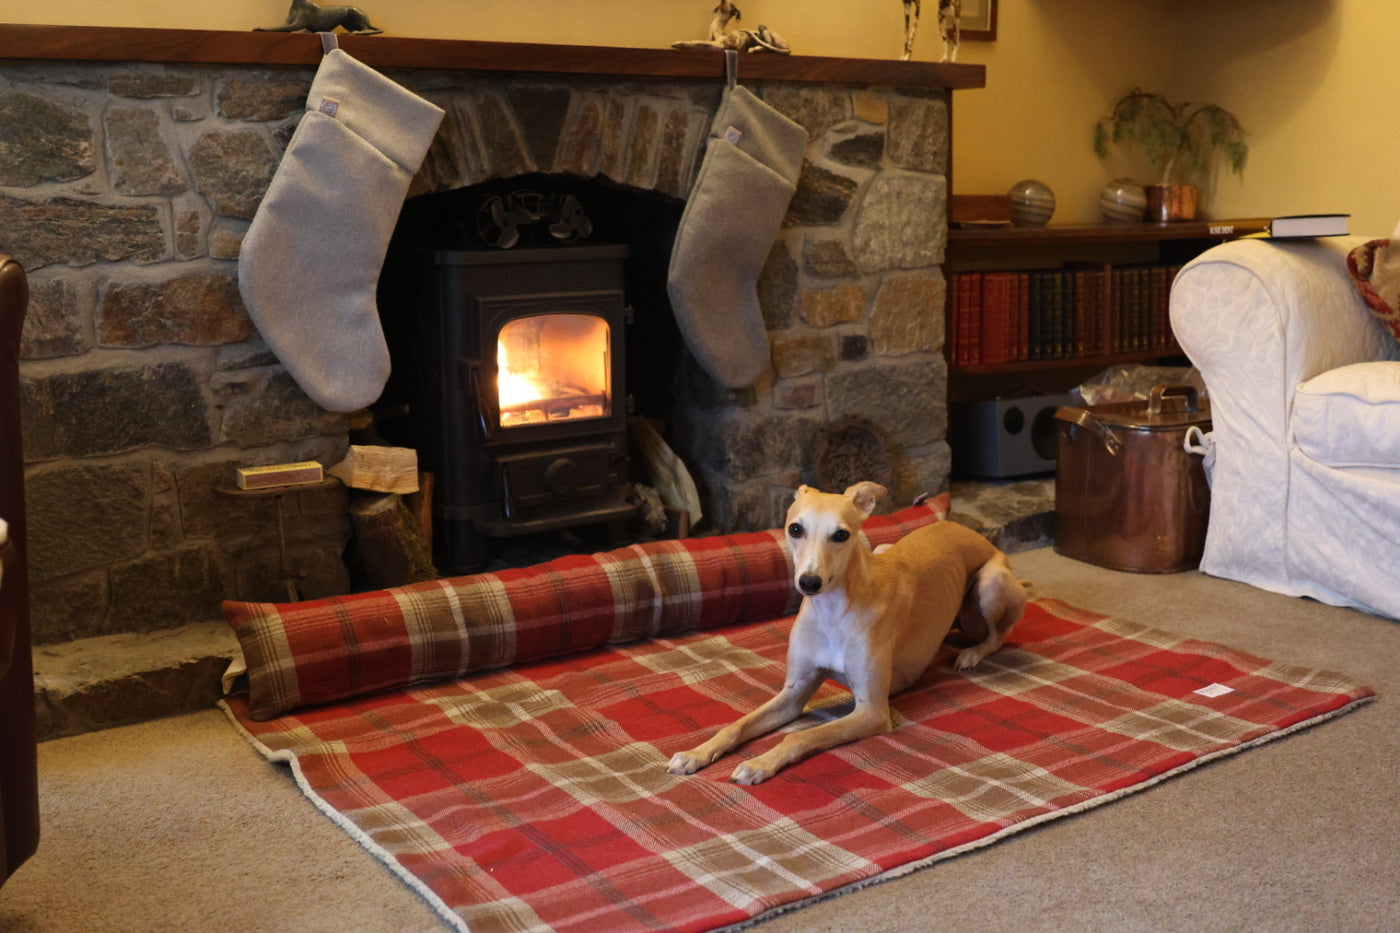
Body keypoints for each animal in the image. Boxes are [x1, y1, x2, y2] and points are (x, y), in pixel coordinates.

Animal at [660, 481, 1024, 778]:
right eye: (795, 528)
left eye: (841, 534)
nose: (809, 583)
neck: (832, 613)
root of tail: (969, 531)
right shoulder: (794, 693)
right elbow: (737, 724)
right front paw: (695, 754)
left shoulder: (872, 711)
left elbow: (799, 734)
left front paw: (759, 763)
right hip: (885, 548)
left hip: (991, 582)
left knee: (997, 635)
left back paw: (972, 654)